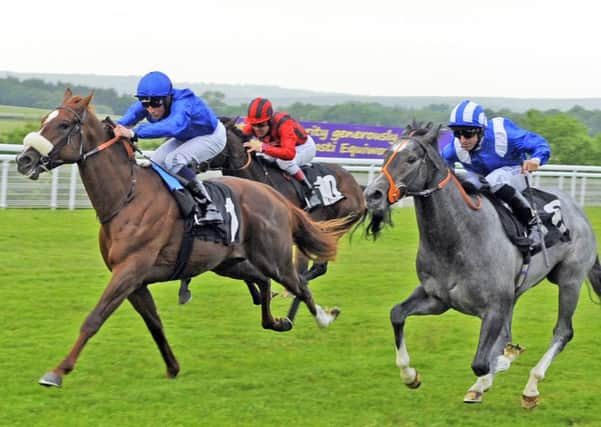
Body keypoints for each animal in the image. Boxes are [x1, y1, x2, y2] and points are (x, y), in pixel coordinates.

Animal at [14, 89, 346, 388]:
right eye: (44, 120)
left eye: (64, 125)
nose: (24, 160)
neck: (126, 196)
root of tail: (274, 195)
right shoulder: (134, 279)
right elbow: (154, 323)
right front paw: (172, 367)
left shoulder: (129, 270)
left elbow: (94, 318)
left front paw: (57, 372)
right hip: (229, 263)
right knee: (262, 282)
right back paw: (277, 322)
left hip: (273, 256)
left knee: (298, 283)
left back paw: (324, 318)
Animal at [360, 123, 600, 408]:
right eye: (386, 154)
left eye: (411, 159)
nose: (372, 195)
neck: (458, 238)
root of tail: (578, 210)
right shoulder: (437, 299)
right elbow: (397, 314)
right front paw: (410, 375)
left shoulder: (494, 306)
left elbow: (480, 363)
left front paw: (492, 373)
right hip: (517, 290)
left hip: (570, 279)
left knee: (563, 331)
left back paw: (531, 387)